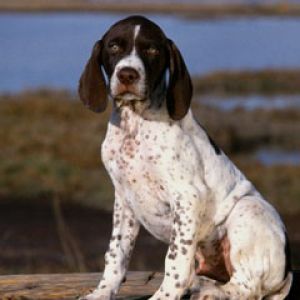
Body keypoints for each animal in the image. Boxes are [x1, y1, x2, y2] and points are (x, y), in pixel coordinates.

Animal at [78, 15, 292, 300]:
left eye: (152, 50)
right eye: (114, 46)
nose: (127, 74)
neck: (135, 124)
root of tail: (286, 274)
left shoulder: (187, 196)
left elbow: (175, 258)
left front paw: (164, 296)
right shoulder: (124, 199)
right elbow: (116, 253)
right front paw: (102, 292)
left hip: (248, 208)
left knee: (246, 287)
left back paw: (210, 292)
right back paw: (201, 285)